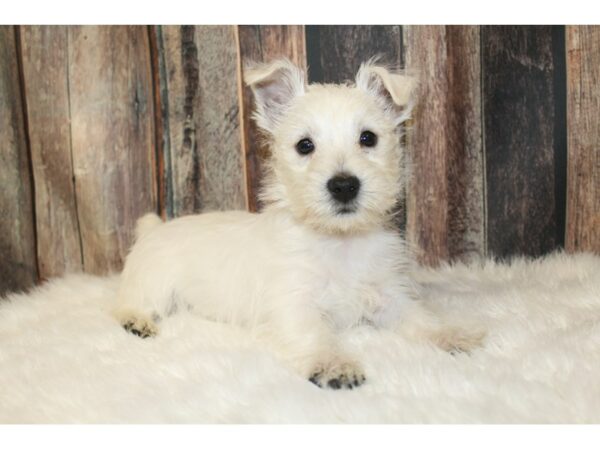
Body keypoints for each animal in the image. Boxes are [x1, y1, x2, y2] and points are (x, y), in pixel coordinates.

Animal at [115, 59, 486, 390]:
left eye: (368, 138)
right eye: (304, 145)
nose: (343, 186)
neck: (339, 241)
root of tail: (155, 228)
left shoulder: (388, 295)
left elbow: (419, 317)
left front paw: (452, 335)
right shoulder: (295, 304)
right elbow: (315, 335)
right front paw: (334, 365)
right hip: (155, 282)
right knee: (129, 300)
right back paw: (136, 321)